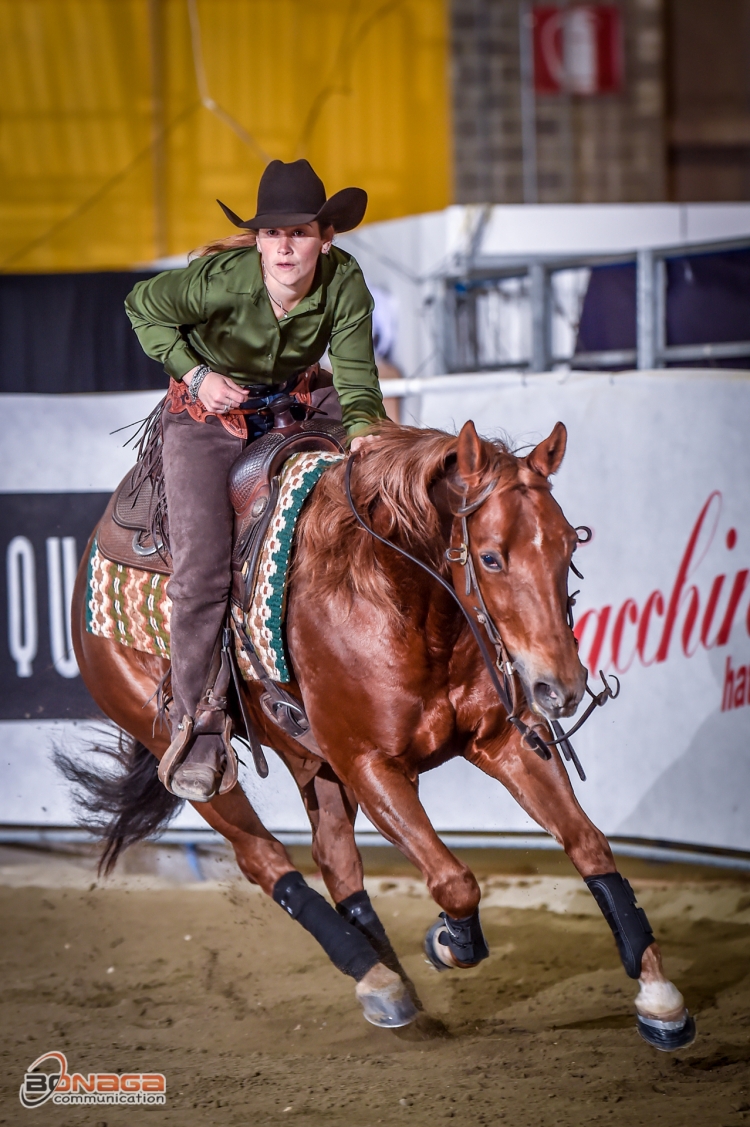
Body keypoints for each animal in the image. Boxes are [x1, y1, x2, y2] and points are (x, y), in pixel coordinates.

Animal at [67, 423, 694, 1045]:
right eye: (491, 557)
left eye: (569, 546)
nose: (560, 687)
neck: (396, 601)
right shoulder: (370, 765)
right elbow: (454, 881)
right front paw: (446, 943)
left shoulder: (504, 741)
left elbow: (588, 844)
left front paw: (658, 996)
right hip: (188, 756)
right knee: (263, 856)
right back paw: (377, 978)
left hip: (312, 761)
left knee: (335, 858)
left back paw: (386, 980)